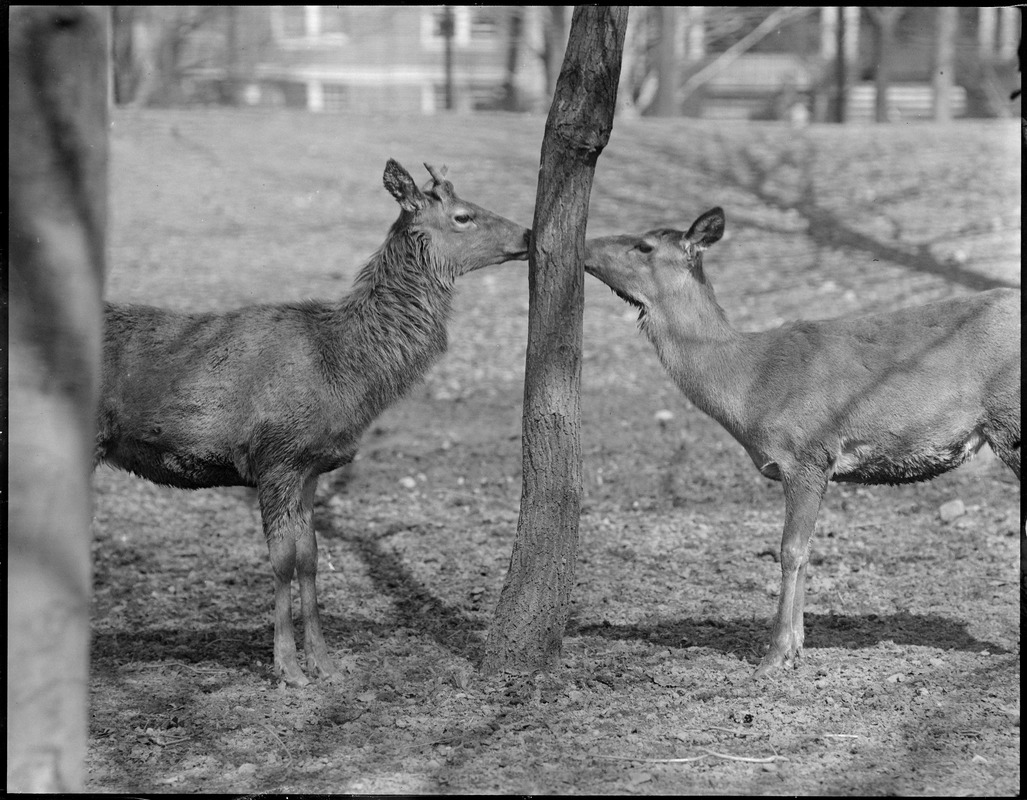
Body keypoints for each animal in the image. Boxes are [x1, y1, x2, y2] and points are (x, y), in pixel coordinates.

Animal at [97, 162, 534, 690]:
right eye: (462, 215)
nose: (529, 233)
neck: (345, 372)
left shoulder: (311, 466)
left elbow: (310, 558)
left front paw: (325, 662)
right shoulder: (277, 457)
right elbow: (282, 561)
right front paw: (288, 668)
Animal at [583, 205, 1022, 677]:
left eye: (644, 245)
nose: (584, 246)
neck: (749, 385)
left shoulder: (807, 453)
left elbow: (790, 550)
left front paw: (775, 654)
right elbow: (808, 551)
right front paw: (796, 647)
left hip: (1010, 421)